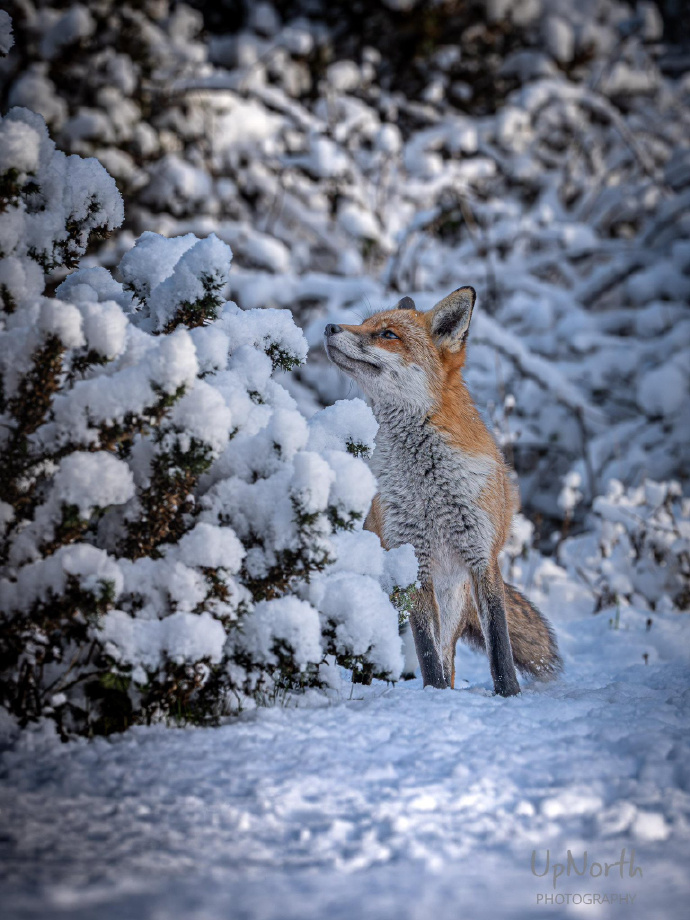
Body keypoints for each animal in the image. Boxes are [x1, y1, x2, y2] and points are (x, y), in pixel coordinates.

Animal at [324, 286, 562, 696]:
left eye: (387, 334)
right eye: (365, 324)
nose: (328, 327)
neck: (428, 485)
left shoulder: (482, 556)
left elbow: (499, 645)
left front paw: (509, 696)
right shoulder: (413, 559)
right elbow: (426, 652)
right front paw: (433, 697)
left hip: (452, 599)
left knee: (450, 657)